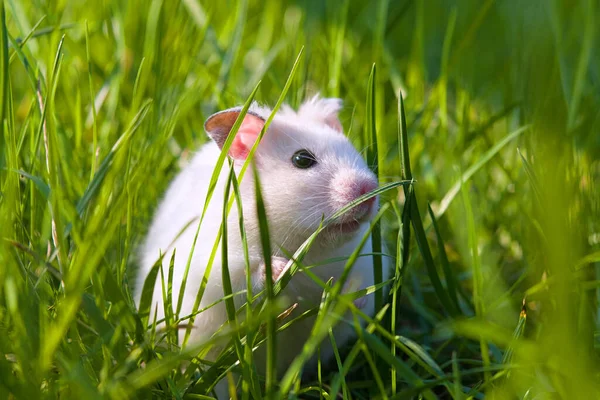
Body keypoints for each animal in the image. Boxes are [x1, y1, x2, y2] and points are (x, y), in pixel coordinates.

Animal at [135, 95, 386, 396]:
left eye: (353, 151)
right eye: (302, 160)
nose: (368, 191)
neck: (306, 245)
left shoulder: (363, 258)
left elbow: (356, 286)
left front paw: (352, 295)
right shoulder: (214, 264)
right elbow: (249, 272)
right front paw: (281, 269)